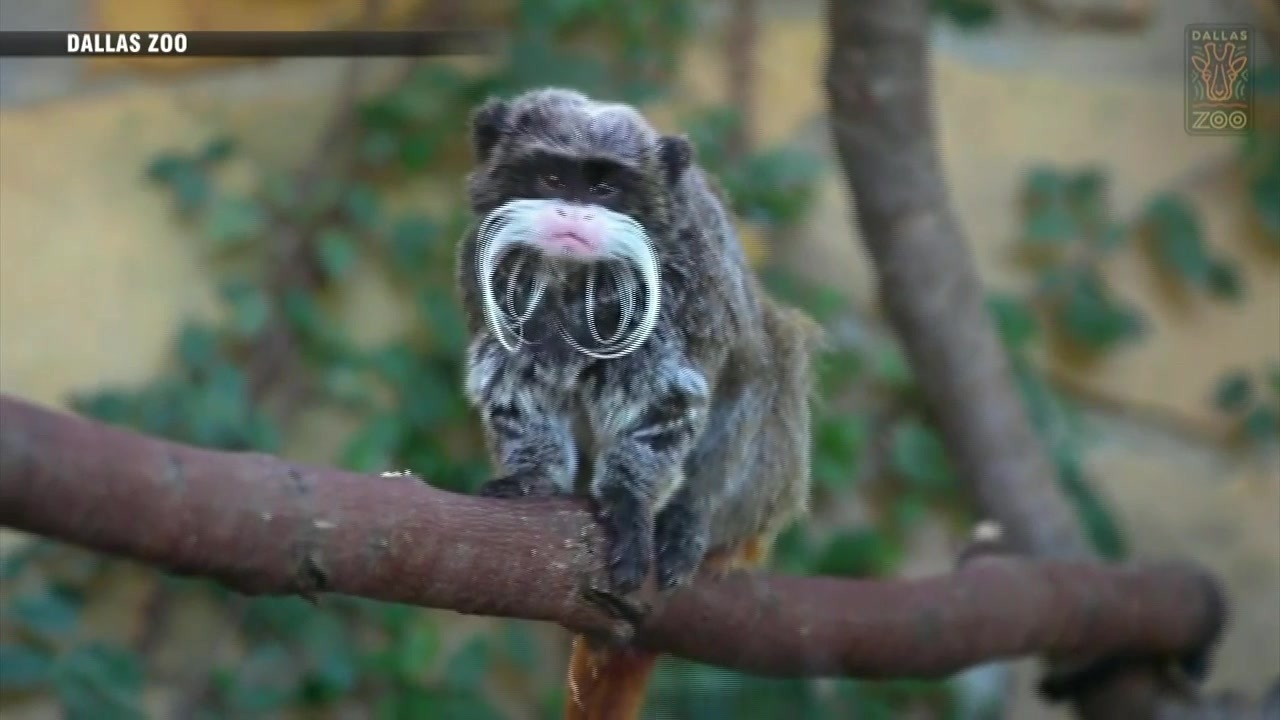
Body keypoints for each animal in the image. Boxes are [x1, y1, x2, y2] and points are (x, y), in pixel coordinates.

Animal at [456, 87, 822, 719]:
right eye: (553, 176)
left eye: (605, 187)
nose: (574, 214)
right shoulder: (489, 277)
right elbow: (516, 380)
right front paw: (534, 476)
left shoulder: (682, 287)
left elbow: (665, 399)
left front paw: (630, 502)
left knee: (769, 355)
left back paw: (689, 522)